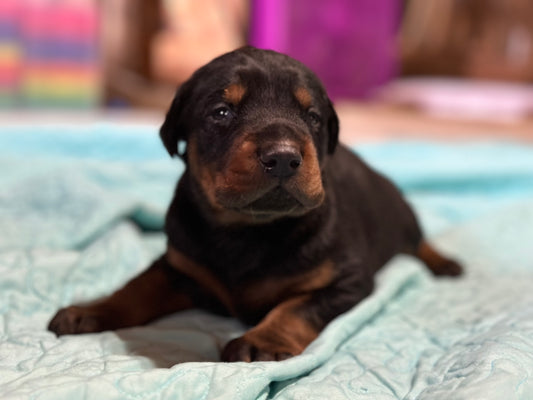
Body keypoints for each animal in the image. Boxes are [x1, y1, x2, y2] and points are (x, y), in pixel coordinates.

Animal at [46, 47, 462, 362]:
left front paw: (263, 342)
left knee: (419, 241)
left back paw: (446, 263)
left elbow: (297, 308)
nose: (283, 157)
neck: (249, 228)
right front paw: (91, 309)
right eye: (221, 112)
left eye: (313, 117)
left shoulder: (348, 281)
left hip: (403, 217)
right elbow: (137, 287)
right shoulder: (180, 265)